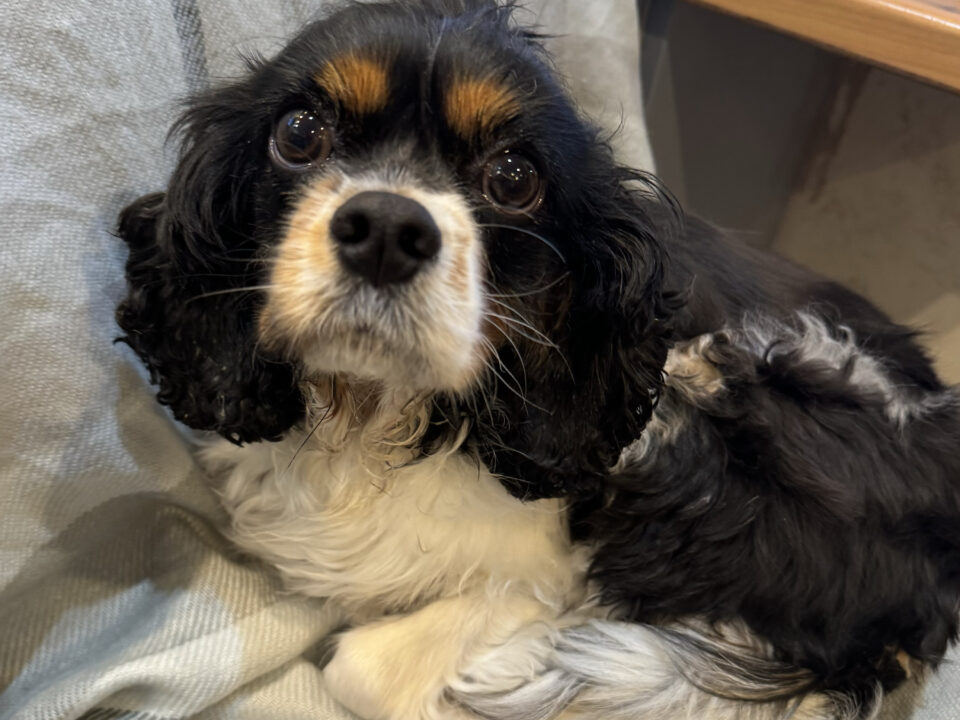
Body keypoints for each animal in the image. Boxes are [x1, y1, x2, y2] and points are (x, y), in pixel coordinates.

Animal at [116, 2, 960, 716]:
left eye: (514, 177)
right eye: (298, 132)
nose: (386, 227)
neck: (379, 415)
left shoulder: (555, 561)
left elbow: (358, 666)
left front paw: (511, 657)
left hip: (723, 383)